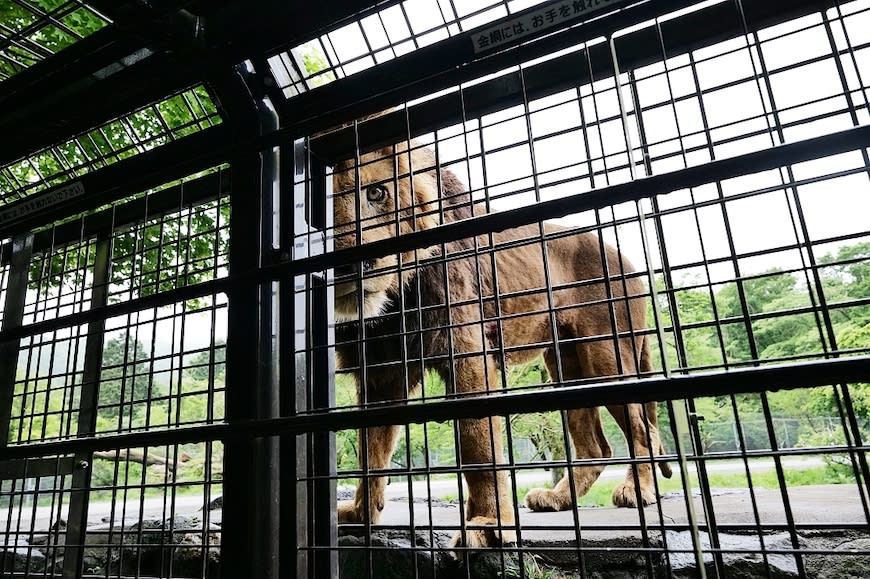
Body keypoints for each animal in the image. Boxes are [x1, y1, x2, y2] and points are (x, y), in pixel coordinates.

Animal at [330, 138, 672, 548]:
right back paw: (557, 499)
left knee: (644, 430)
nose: (349, 267)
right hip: (567, 364)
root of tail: (628, 259)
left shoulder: (467, 351)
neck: (394, 300)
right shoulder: (382, 371)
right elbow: (372, 449)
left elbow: (477, 442)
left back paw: (637, 490)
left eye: (376, 193)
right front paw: (361, 515)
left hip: (606, 355)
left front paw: (488, 523)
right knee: (595, 446)